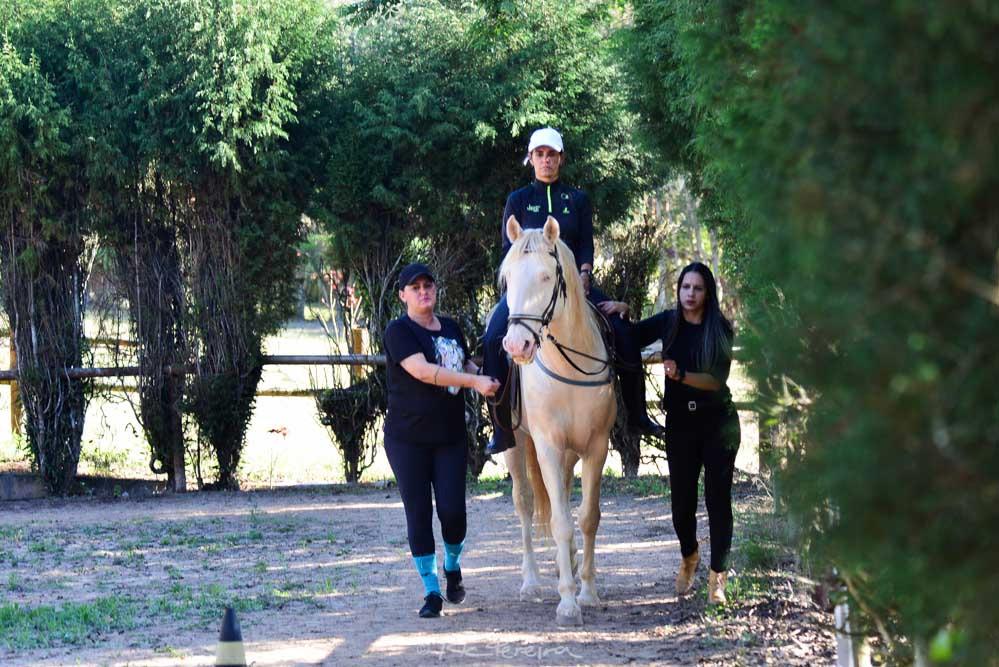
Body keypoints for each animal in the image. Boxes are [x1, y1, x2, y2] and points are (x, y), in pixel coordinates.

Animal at [500, 215, 616, 628]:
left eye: (547, 276)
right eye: (507, 278)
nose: (516, 346)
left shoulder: (597, 446)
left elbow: (587, 517)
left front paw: (589, 591)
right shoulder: (548, 446)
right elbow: (560, 522)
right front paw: (567, 603)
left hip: (569, 454)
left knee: (561, 495)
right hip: (516, 444)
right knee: (525, 503)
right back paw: (531, 581)